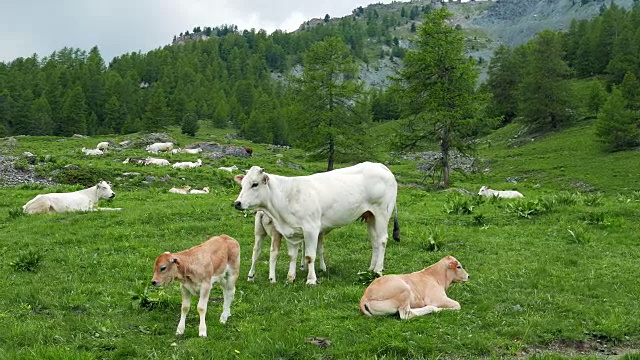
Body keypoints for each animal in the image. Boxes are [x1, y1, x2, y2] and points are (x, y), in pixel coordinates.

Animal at [232, 162, 398, 284]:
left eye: (254, 184)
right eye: (242, 184)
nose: (237, 203)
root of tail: (380, 166)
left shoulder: (311, 229)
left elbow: (310, 256)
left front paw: (311, 280)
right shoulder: (290, 232)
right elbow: (292, 255)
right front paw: (290, 278)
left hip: (382, 213)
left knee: (382, 240)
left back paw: (378, 271)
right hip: (371, 216)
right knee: (374, 241)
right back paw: (371, 269)